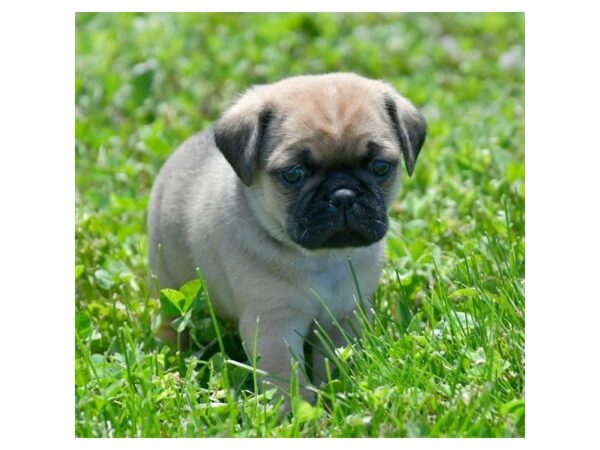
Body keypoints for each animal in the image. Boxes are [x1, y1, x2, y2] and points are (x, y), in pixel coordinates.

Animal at [147, 73, 424, 404]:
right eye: (294, 174)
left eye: (380, 167)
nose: (343, 195)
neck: (322, 259)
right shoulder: (273, 326)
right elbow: (285, 378)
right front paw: (295, 411)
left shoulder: (346, 314)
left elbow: (335, 361)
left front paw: (337, 393)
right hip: (166, 281)